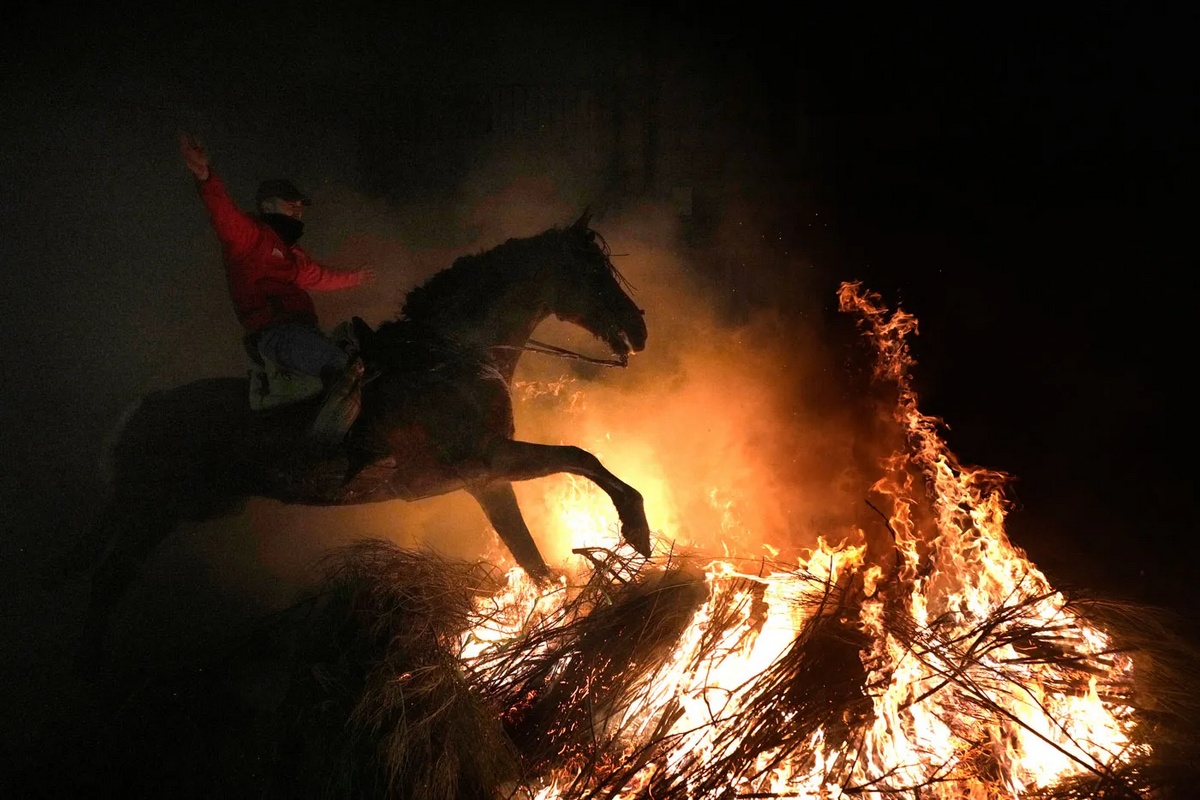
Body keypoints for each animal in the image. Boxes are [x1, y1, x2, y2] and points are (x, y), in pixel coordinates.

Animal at [75, 209, 652, 666]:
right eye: (593, 272)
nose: (639, 330)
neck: (450, 353)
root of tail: (140, 412)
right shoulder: (490, 460)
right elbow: (581, 457)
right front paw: (637, 529)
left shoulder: (488, 483)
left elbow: (531, 558)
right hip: (153, 514)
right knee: (102, 585)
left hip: (156, 511)